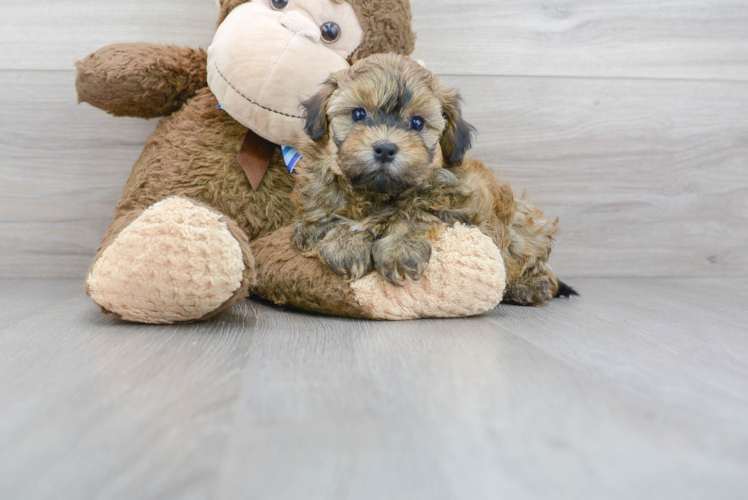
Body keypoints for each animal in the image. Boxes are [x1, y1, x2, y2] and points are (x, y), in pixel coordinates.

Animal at [290, 53, 572, 304]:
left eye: (417, 123)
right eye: (358, 114)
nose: (385, 148)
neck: (376, 193)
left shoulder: (458, 206)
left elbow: (416, 213)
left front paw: (400, 248)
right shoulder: (316, 207)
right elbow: (330, 219)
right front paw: (345, 244)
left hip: (524, 226)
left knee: (536, 265)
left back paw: (530, 286)